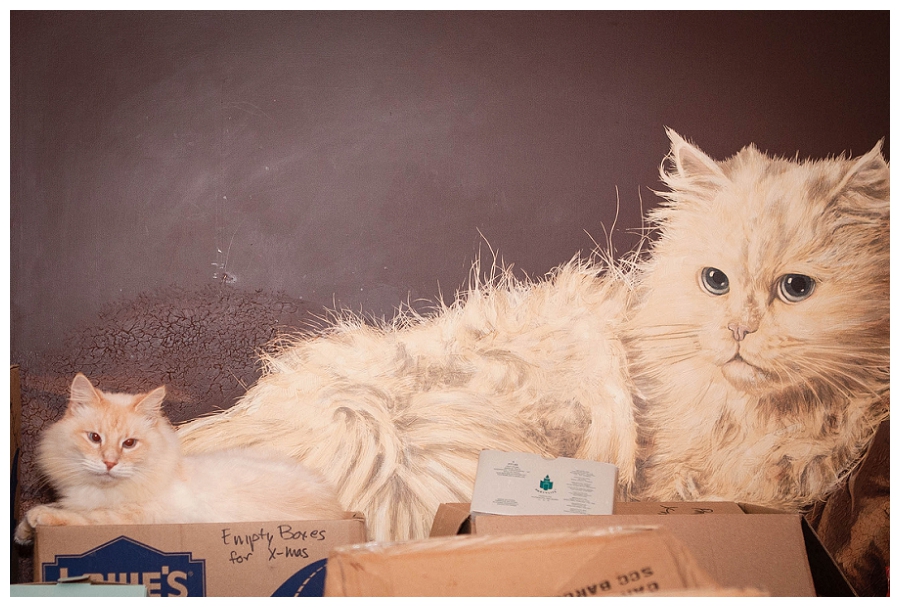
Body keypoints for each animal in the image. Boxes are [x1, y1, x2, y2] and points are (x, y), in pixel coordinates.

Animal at [15, 373, 347, 545]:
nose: (109, 463)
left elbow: (85, 518)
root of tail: (340, 509)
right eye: (94, 438)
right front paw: (23, 532)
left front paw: (36, 519)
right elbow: (67, 508)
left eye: (129, 444)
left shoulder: (140, 516)